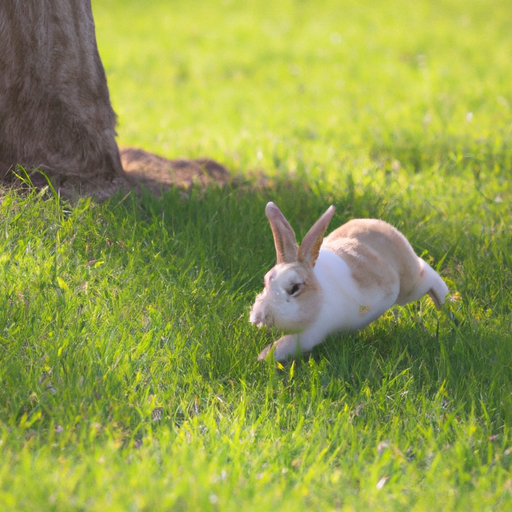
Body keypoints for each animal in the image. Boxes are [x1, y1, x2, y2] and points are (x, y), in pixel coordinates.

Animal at [249, 202, 448, 362]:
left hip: (409, 288)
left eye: (295, 288)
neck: (320, 292)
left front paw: (263, 357)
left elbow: (286, 345)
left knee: (427, 275)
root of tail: (384, 226)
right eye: (266, 281)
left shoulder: (312, 333)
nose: (259, 316)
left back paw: (444, 302)